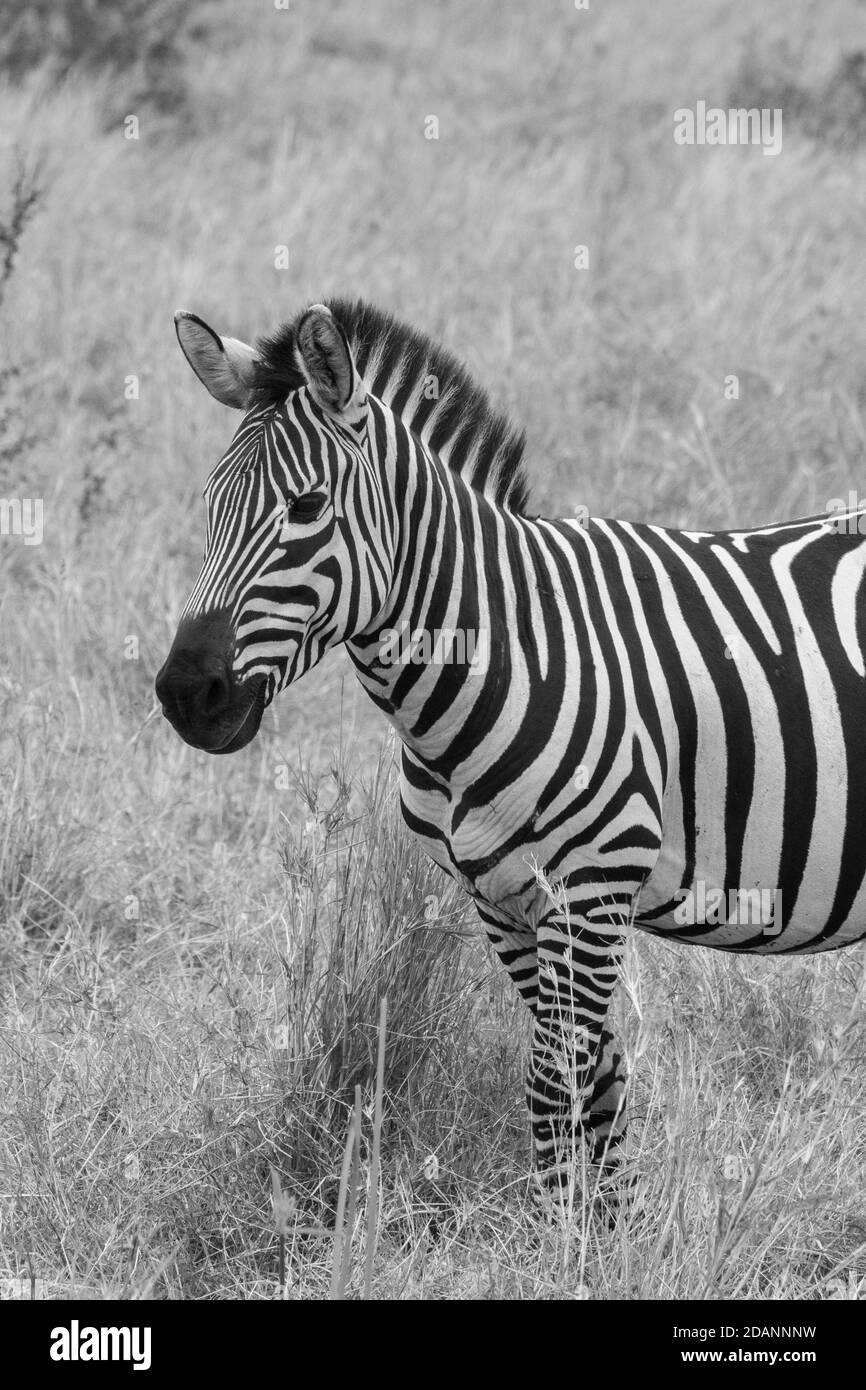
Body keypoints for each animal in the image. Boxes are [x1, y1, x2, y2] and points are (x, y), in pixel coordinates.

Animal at [155, 296, 866, 1197]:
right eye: (210, 504)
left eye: (308, 509)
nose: (185, 694)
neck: (505, 652)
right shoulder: (500, 898)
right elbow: (600, 1082)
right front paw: (606, 1225)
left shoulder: (594, 888)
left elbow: (555, 1084)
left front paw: (565, 1231)